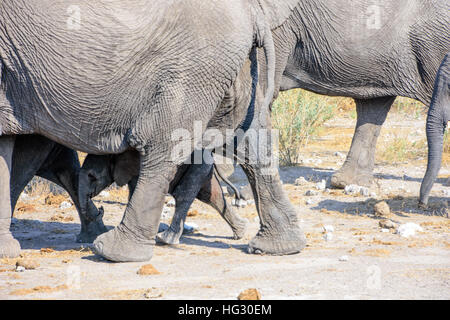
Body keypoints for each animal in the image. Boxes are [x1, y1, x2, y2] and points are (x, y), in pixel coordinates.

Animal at [80, 151, 250, 245]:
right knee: (211, 195)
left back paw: (165, 239)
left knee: (185, 193)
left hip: (198, 165)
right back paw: (240, 232)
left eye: (91, 176)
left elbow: (135, 193)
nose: (100, 209)